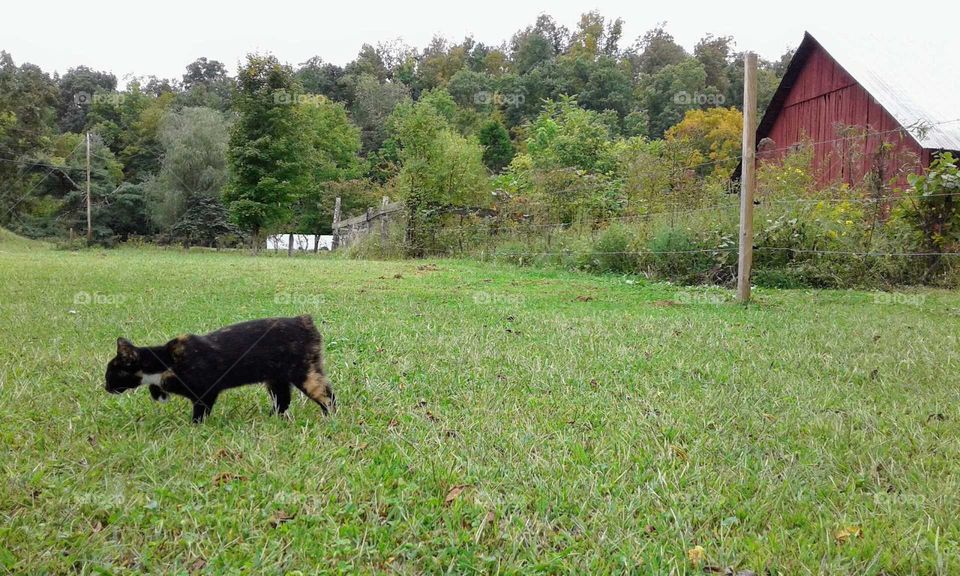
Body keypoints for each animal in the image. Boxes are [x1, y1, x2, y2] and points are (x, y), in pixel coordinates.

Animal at [104, 316, 338, 424]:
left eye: (110, 374)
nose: (105, 387)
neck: (164, 361)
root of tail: (304, 320)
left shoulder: (205, 392)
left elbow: (200, 412)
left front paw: (195, 427)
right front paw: (158, 394)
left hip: (305, 374)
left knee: (328, 396)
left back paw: (330, 419)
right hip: (276, 379)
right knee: (282, 401)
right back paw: (270, 419)